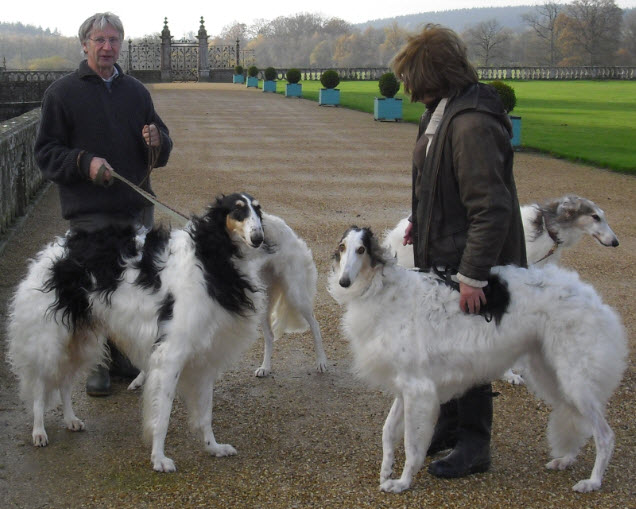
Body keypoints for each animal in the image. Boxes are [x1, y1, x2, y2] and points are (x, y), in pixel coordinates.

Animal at [9, 192, 268, 470]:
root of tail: (50, 253)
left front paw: (214, 447)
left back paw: (70, 420)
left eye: (258, 210)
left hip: (80, 339)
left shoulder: (205, 359)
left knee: (65, 383)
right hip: (51, 341)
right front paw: (159, 459)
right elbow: (162, 416)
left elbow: (205, 414)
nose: (258, 238)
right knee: (41, 388)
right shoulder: (170, 354)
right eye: (238, 211)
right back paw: (39, 431)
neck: (210, 258)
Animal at [330, 226, 628, 492]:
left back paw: (593, 482)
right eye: (342, 248)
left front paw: (402, 482)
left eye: (361, 249)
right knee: (577, 419)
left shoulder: (419, 389)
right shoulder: (406, 386)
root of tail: (594, 299)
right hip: (551, 373)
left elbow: (412, 445)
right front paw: (386, 471)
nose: (344, 281)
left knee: (605, 435)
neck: (385, 291)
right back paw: (565, 460)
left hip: (574, 379)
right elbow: (388, 431)